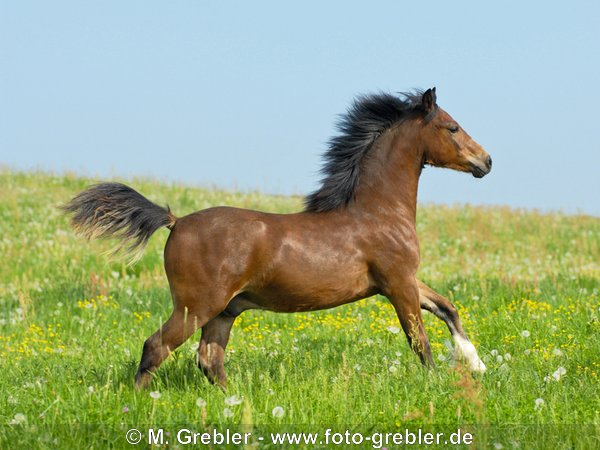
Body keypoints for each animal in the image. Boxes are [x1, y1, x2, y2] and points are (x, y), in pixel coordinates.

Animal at [62, 88, 492, 390]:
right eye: (452, 127)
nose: (486, 161)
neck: (378, 212)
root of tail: (176, 221)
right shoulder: (397, 282)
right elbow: (419, 340)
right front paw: (438, 384)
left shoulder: (404, 280)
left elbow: (448, 308)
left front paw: (478, 364)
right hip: (195, 306)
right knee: (157, 347)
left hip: (224, 311)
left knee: (209, 360)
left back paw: (235, 402)